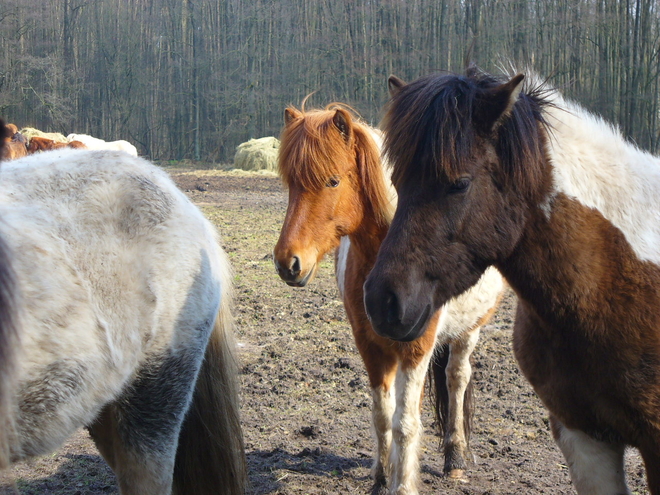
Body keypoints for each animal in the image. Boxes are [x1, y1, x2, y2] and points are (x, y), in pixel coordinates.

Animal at [270, 102, 502, 494]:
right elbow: (381, 416)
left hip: (468, 332)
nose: (288, 263)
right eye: (290, 184)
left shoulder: (416, 349)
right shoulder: (370, 345)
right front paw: (381, 479)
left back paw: (455, 459)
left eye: (333, 180)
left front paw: (403, 484)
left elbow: (405, 423)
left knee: (456, 378)